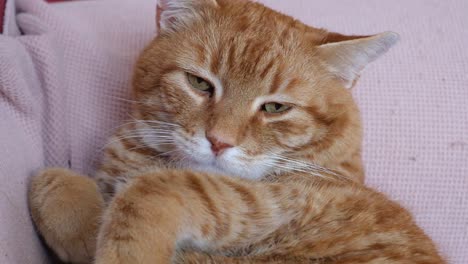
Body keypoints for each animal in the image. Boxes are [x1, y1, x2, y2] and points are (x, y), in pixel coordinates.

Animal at [27, 0, 444, 262]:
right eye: (199, 83)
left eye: (275, 108)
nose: (218, 141)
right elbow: (48, 177)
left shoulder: (281, 201)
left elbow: (157, 189)